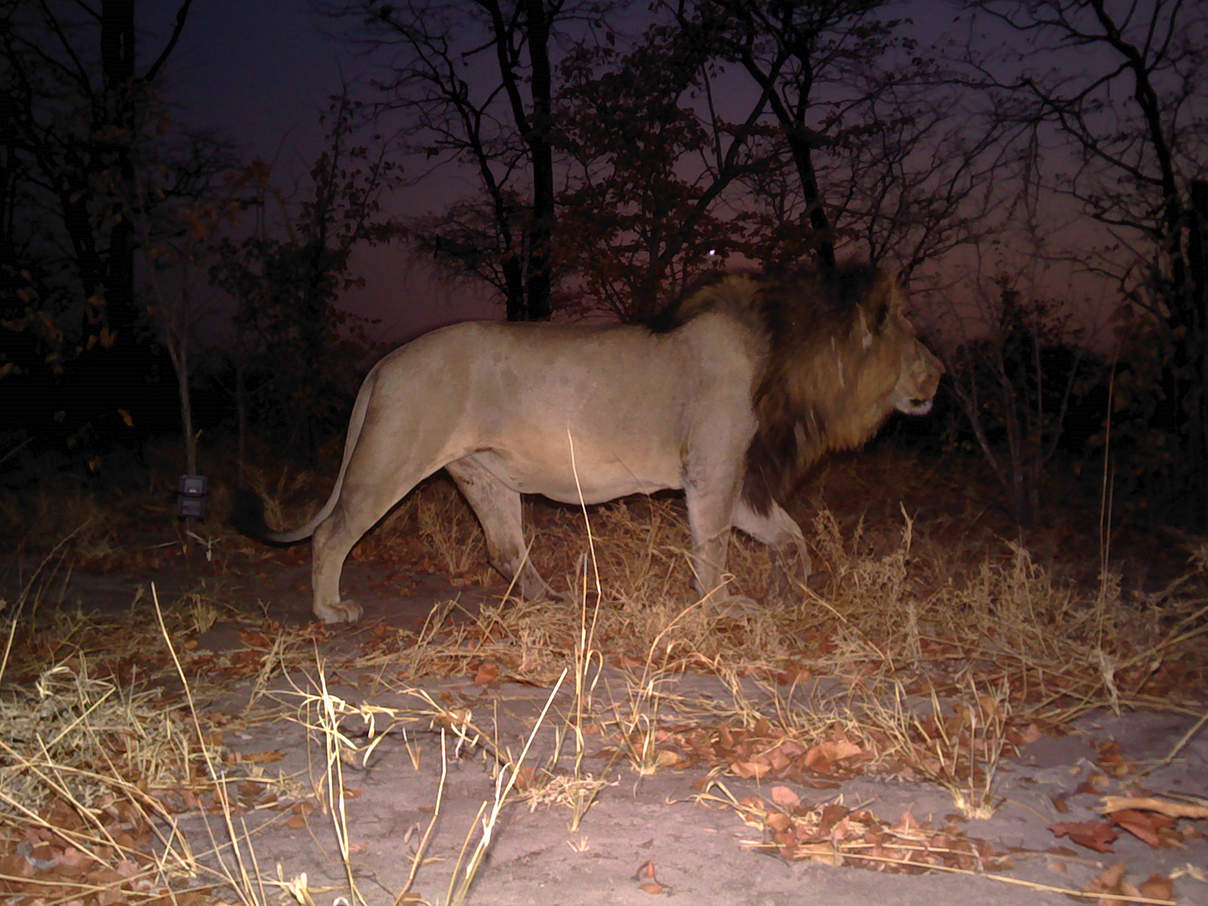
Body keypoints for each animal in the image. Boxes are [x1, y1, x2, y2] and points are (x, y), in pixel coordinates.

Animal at [236, 264, 943, 623]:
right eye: (911, 331)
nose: (941, 372)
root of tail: (384, 363)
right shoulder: (713, 469)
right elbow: (713, 550)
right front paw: (721, 608)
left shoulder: (737, 477)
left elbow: (793, 537)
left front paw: (787, 590)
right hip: (393, 456)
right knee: (334, 534)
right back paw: (330, 609)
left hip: (483, 475)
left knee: (503, 550)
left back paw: (550, 601)